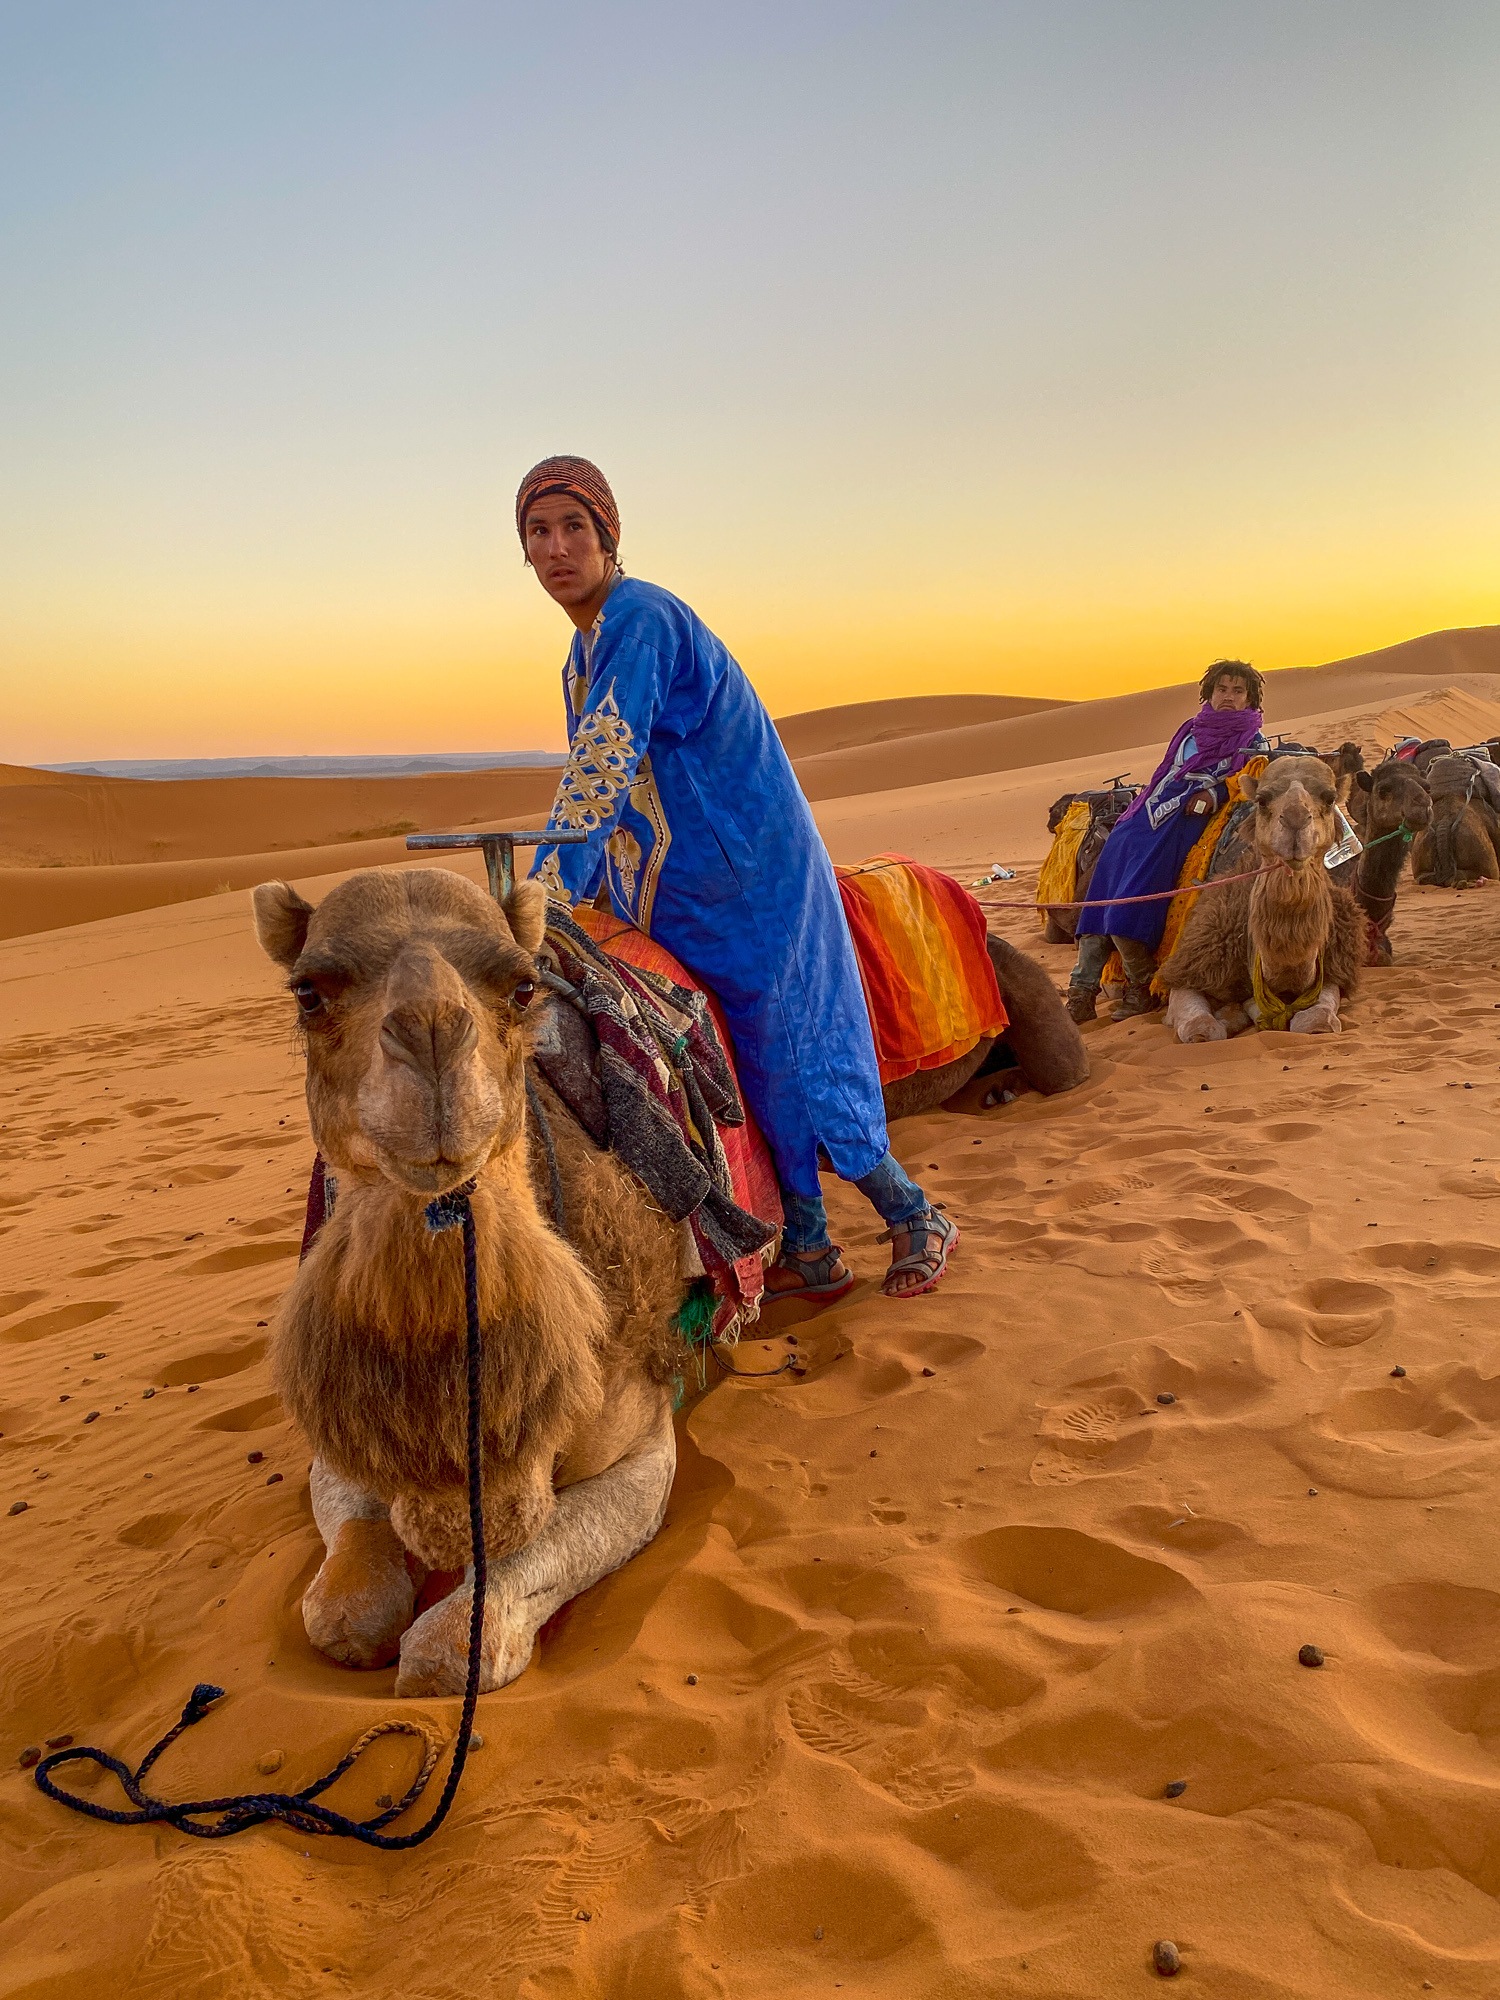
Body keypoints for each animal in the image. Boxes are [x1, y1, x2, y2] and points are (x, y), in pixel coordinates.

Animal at [256, 868, 1080, 1696]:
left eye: (520, 987)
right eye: (308, 992)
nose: (430, 1045)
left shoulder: (643, 1448)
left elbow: (453, 1644)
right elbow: (342, 1608)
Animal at [1160, 752, 1376, 1048]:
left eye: (1330, 798)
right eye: (1262, 800)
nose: (1296, 819)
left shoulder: (1334, 969)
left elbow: (1316, 1022)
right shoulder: (1191, 965)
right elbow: (1202, 1029)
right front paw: (1231, 1014)